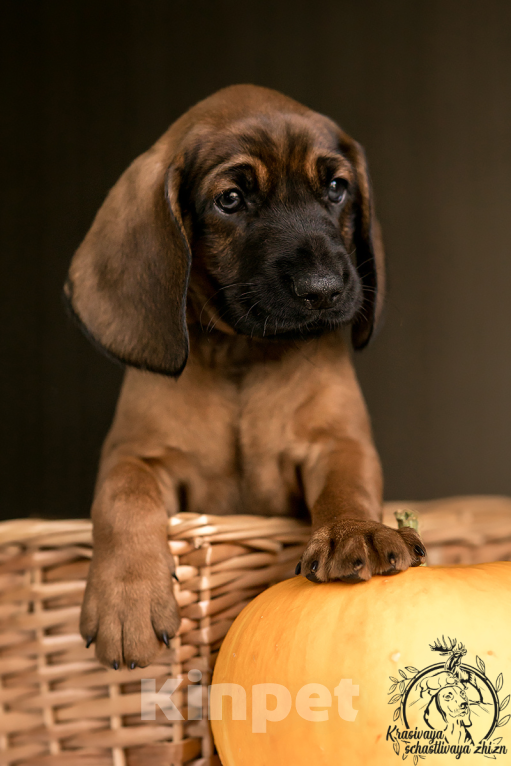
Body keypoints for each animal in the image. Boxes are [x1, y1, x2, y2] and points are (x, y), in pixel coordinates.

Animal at [65, 85, 424, 672]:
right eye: (230, 200)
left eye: (337, 188)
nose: (324, 289)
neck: (245, 353)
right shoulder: (136, 453)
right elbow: (123, 498)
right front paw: (127, 599)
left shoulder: (339, 444)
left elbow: (347, 488)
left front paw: (356, 533)